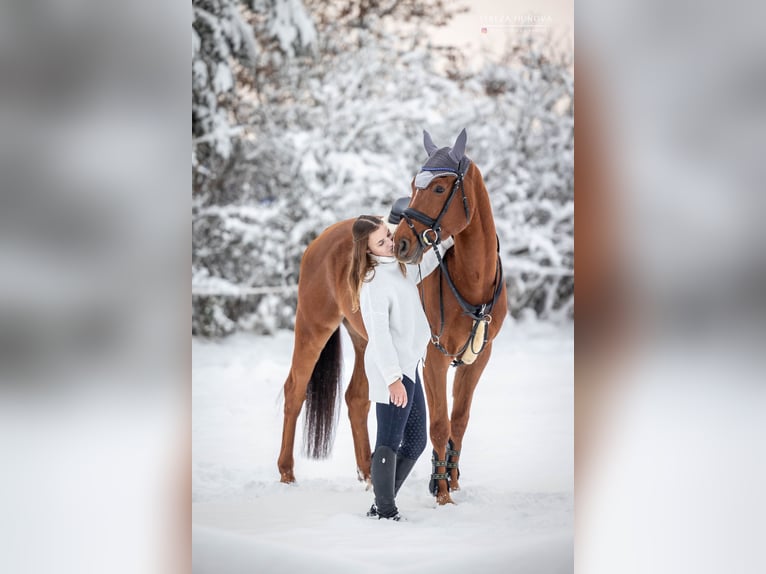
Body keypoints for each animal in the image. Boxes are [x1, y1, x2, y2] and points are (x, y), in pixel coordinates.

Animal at [280, 128, 508, 506]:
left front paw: (452, 481)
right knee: (295, 391)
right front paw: (441, 493)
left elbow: (459, 421)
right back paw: (286, 473)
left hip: (365, 339)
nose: (401, 244)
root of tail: (321, 239)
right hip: (313, 327)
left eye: (439, 188)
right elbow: (440, 424)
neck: (471, 280)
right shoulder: (433, 359)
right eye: (414, 184)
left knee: (356, 399)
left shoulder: (478, 359)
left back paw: (369, 474)